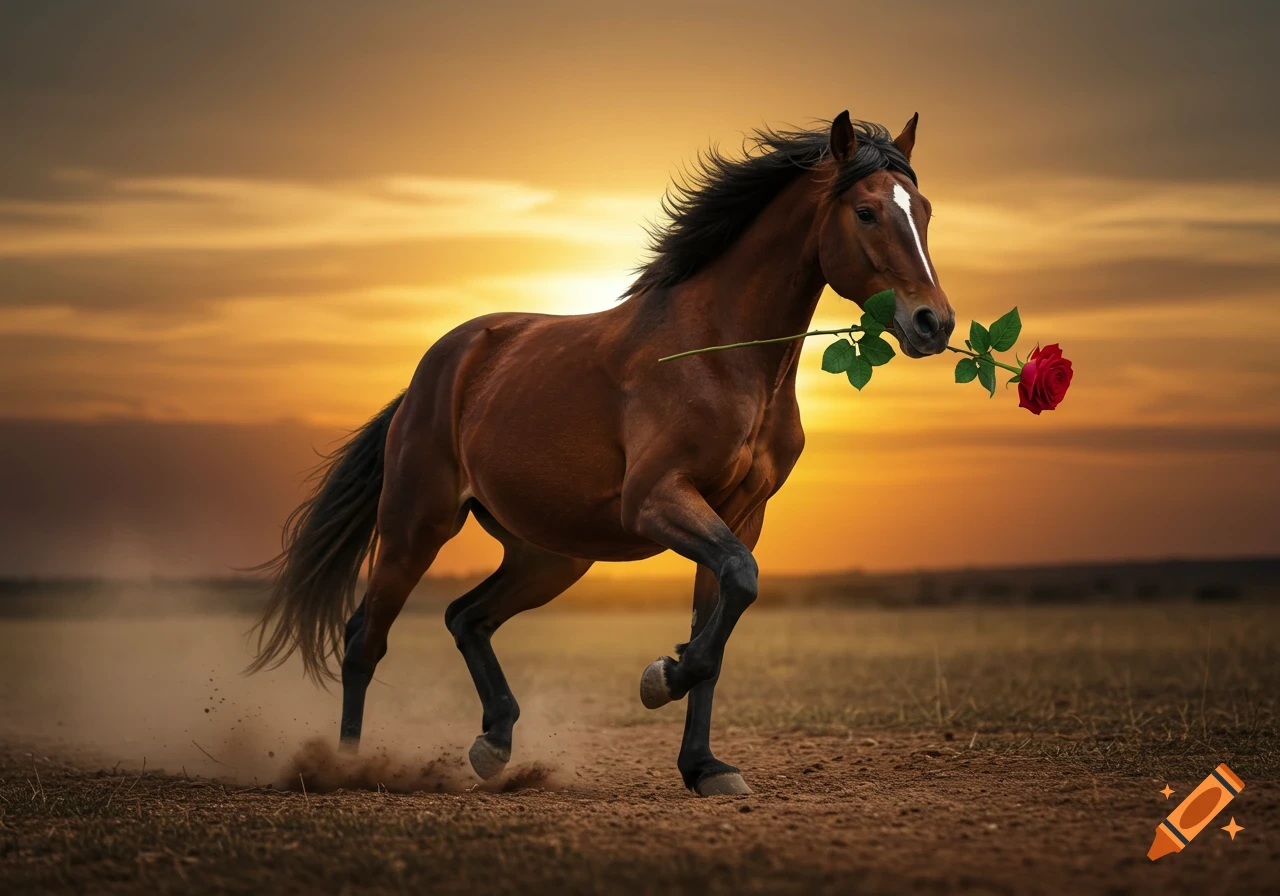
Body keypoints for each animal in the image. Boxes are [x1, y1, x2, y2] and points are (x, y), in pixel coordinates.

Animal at [249, 111, 955, 796]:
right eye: (866, 211)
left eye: (922, 210)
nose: (934, 324)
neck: (720, 355)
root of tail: (438, 367)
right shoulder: (656, 499)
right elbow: (734, 590)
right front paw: (660, 678)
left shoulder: (740, 515)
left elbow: (725, 612)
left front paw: (704, 767)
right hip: (415, 526)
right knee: (365, 640)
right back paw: (344, 768)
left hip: (550, 556)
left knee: (465, 616)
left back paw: (494, 743)